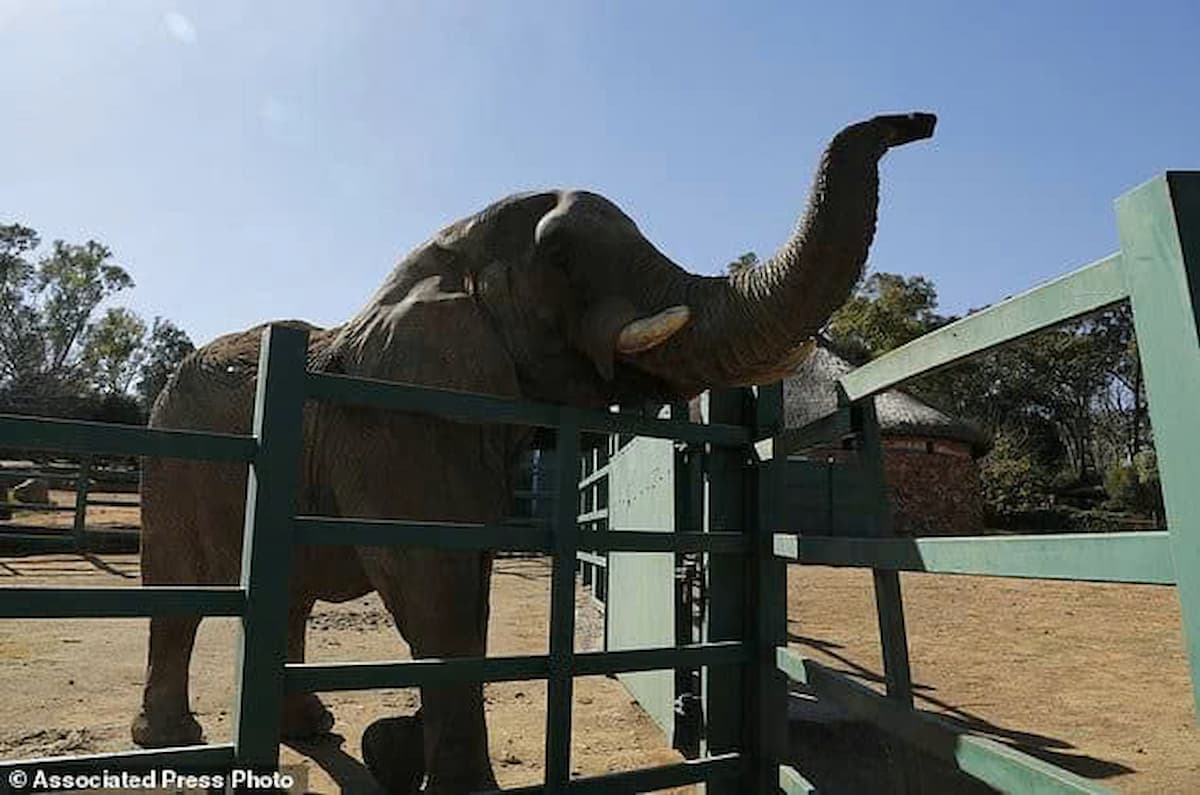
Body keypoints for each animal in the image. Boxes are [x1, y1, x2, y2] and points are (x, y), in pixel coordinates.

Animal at [131, 113, 936, 795]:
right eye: (560, 257)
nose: (917, 121)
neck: (438, 260)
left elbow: (470, 590)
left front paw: (391, 749)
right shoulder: (397, 423)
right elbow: (431, 582)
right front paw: (433, 771)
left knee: (288, 592)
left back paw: (313, 728)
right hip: (171, 458)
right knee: (178, 585)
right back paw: (170, 742)